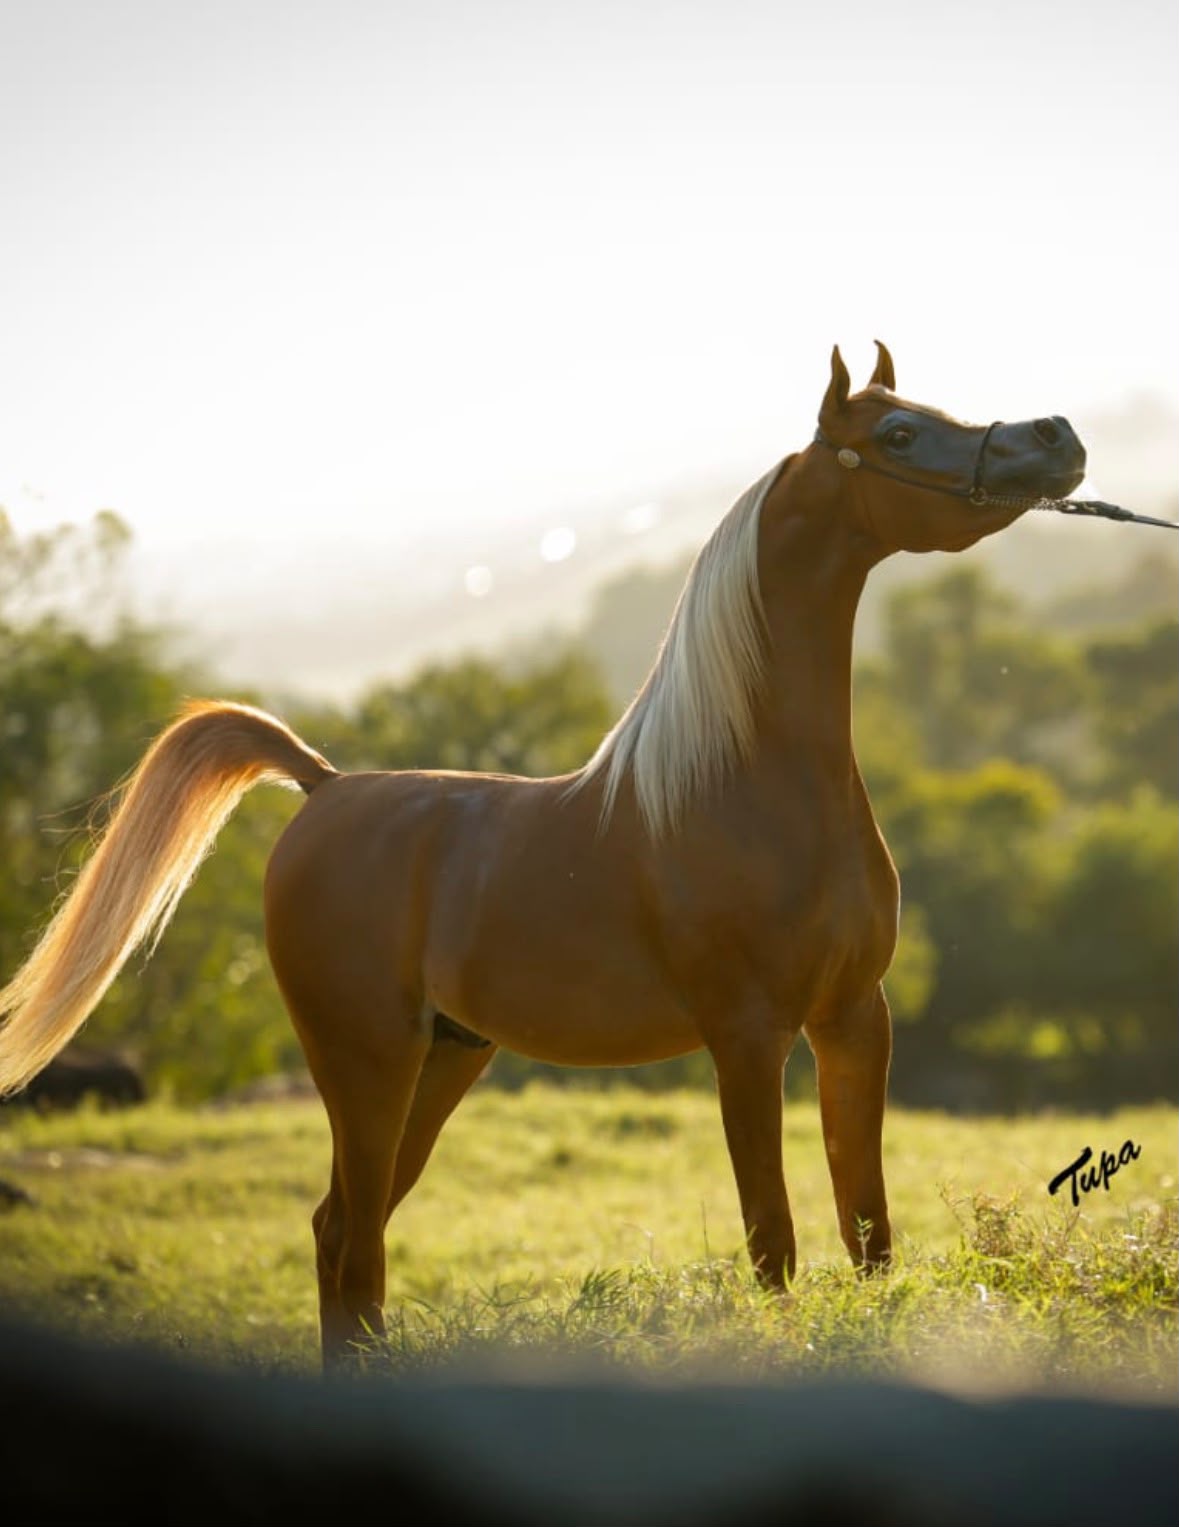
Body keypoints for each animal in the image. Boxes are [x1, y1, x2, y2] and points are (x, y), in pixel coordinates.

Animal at [0, 343, 1087, 1366]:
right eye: (897, 433)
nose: (1056, 436)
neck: (746, 785)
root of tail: (323, 786)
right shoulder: (746, 1036)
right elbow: (772, 1244)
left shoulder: (855, 1018)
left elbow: (869, 1235)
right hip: (366, 1058)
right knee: (356, 1241)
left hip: (443, 1059)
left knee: (341, 1229)